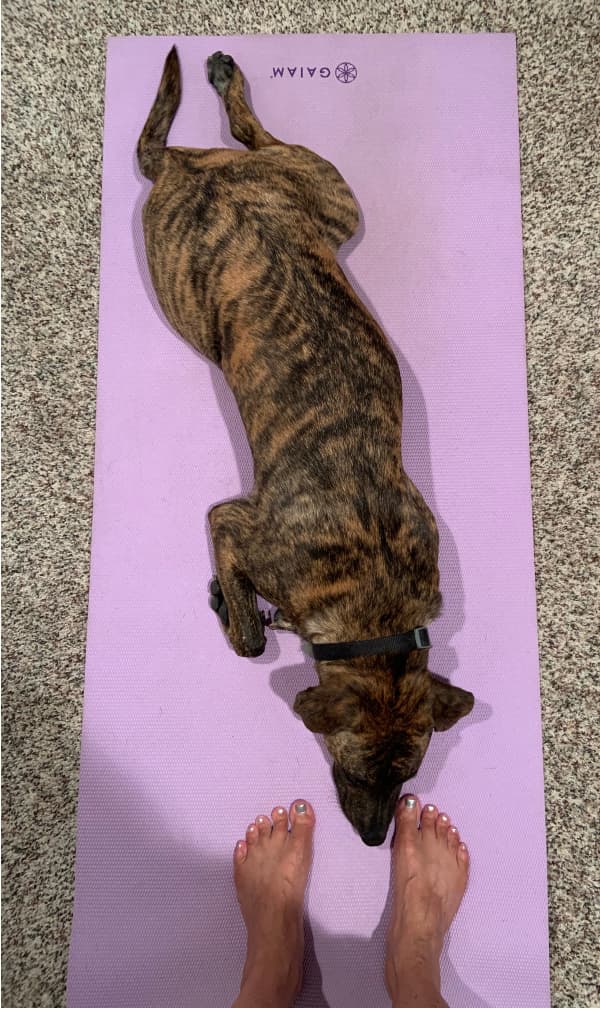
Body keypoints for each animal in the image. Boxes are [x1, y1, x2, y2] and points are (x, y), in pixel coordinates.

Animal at [137, 51, 473, 847]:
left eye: (411, 773)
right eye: (353, 766)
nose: (377, 840)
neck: (375, 601)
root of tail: (183, 166)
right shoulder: (230, 519)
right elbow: (252, 644)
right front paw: (237, 609)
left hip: (326, 197)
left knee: (253, 134)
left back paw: (226, 80)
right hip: (215, 284)